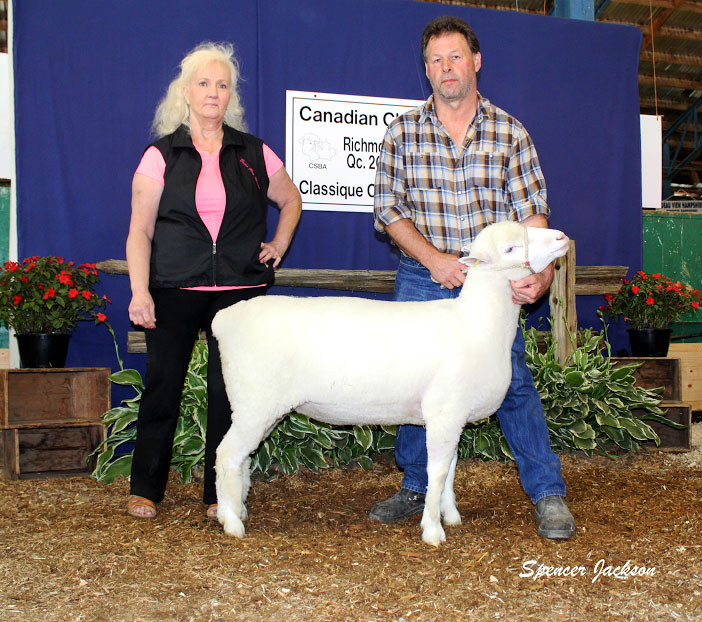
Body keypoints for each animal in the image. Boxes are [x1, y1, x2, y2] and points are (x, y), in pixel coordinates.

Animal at [211, 221, 570, 546]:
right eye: (510, 249)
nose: (562, 237)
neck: (478, 322)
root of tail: (224, 319)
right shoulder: (445, 413)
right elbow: (437, 473)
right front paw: (432, 530)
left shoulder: (452, 417)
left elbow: (451, 469)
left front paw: (450, 515)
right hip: (254, 401)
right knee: (227, 455)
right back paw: (230, 521)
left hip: (259, 408)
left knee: (242, 458)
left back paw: (239, 508)